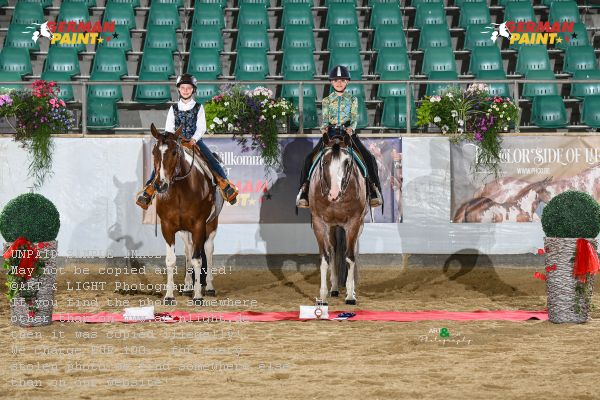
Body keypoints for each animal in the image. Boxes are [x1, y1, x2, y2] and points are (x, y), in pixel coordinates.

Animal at [149, 123, 224, 304]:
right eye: (154, 152)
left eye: (174, 152)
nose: (160, 185)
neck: (180, 192)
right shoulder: (167, 227)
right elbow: (171, 260)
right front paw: (169, 296)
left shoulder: (198, 225)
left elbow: (198, 259)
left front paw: (198, 296)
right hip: (184, 230)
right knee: (188, 250)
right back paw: (188, 286)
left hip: (211, 223)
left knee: (208, 249)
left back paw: (209, 287)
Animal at [310, 134, 370, 304]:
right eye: (325, 162)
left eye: (347, 162)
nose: (334, 194)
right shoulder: (319, 223)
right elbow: (325, 258)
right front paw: (323, 296)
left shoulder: (354, 223)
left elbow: (349, 257)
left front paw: (350, 295)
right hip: (332, 226)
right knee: (334, 249)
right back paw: (335, 288)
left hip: (358, 225)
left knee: (351, 251)